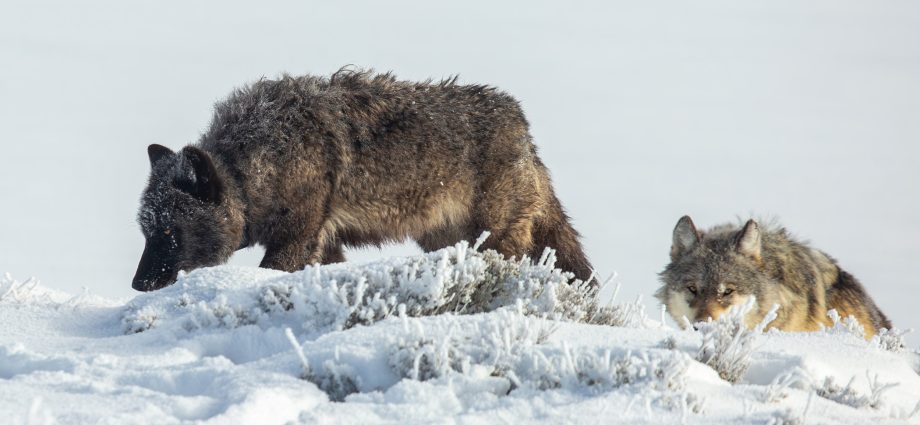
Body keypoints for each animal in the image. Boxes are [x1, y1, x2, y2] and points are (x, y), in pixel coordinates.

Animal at [132, 69, 593, 291]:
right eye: (147, 232)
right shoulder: (324, 243)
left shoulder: (295, 239)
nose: (139, 284)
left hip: (492, 240)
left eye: (171, 231)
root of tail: (523, 129)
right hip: (445, 240)